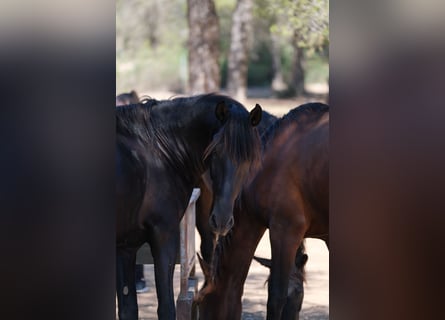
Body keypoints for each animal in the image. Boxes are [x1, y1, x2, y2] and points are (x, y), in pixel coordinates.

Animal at [115, 94, 260, 318]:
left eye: (249, 158)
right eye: (215, 151)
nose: (222, 220)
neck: (158, 150)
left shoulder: (126, 247)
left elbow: (128, 308)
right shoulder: (164, 235)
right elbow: (166, 308)